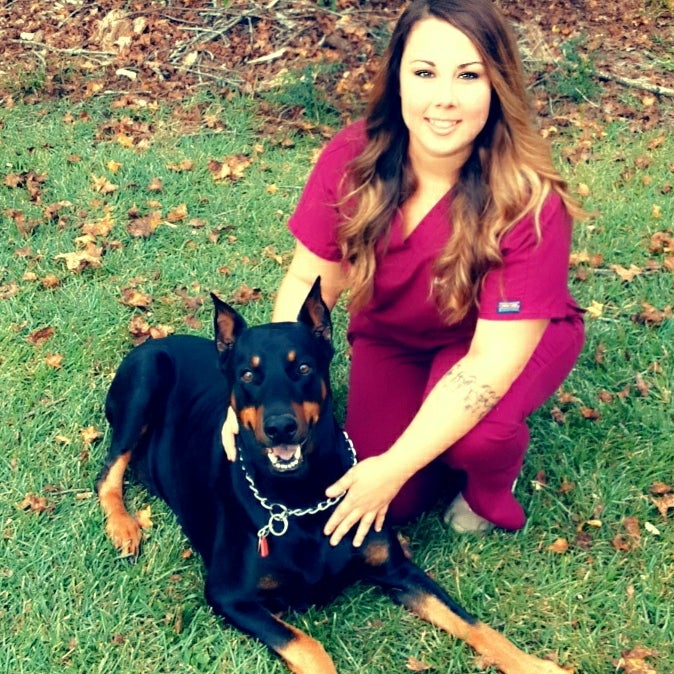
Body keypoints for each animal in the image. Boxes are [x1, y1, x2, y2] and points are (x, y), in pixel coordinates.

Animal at [96, 278, 568, 672]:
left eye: (303, 367)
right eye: (248, 374)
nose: (281, 427)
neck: (300, 497)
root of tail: (159, 340)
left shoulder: (398, 570)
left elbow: (469, 620)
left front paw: (535, 665)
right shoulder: (229, 594)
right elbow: (308, 645)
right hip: (145, 381)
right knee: (107, 473)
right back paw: (123, 527)